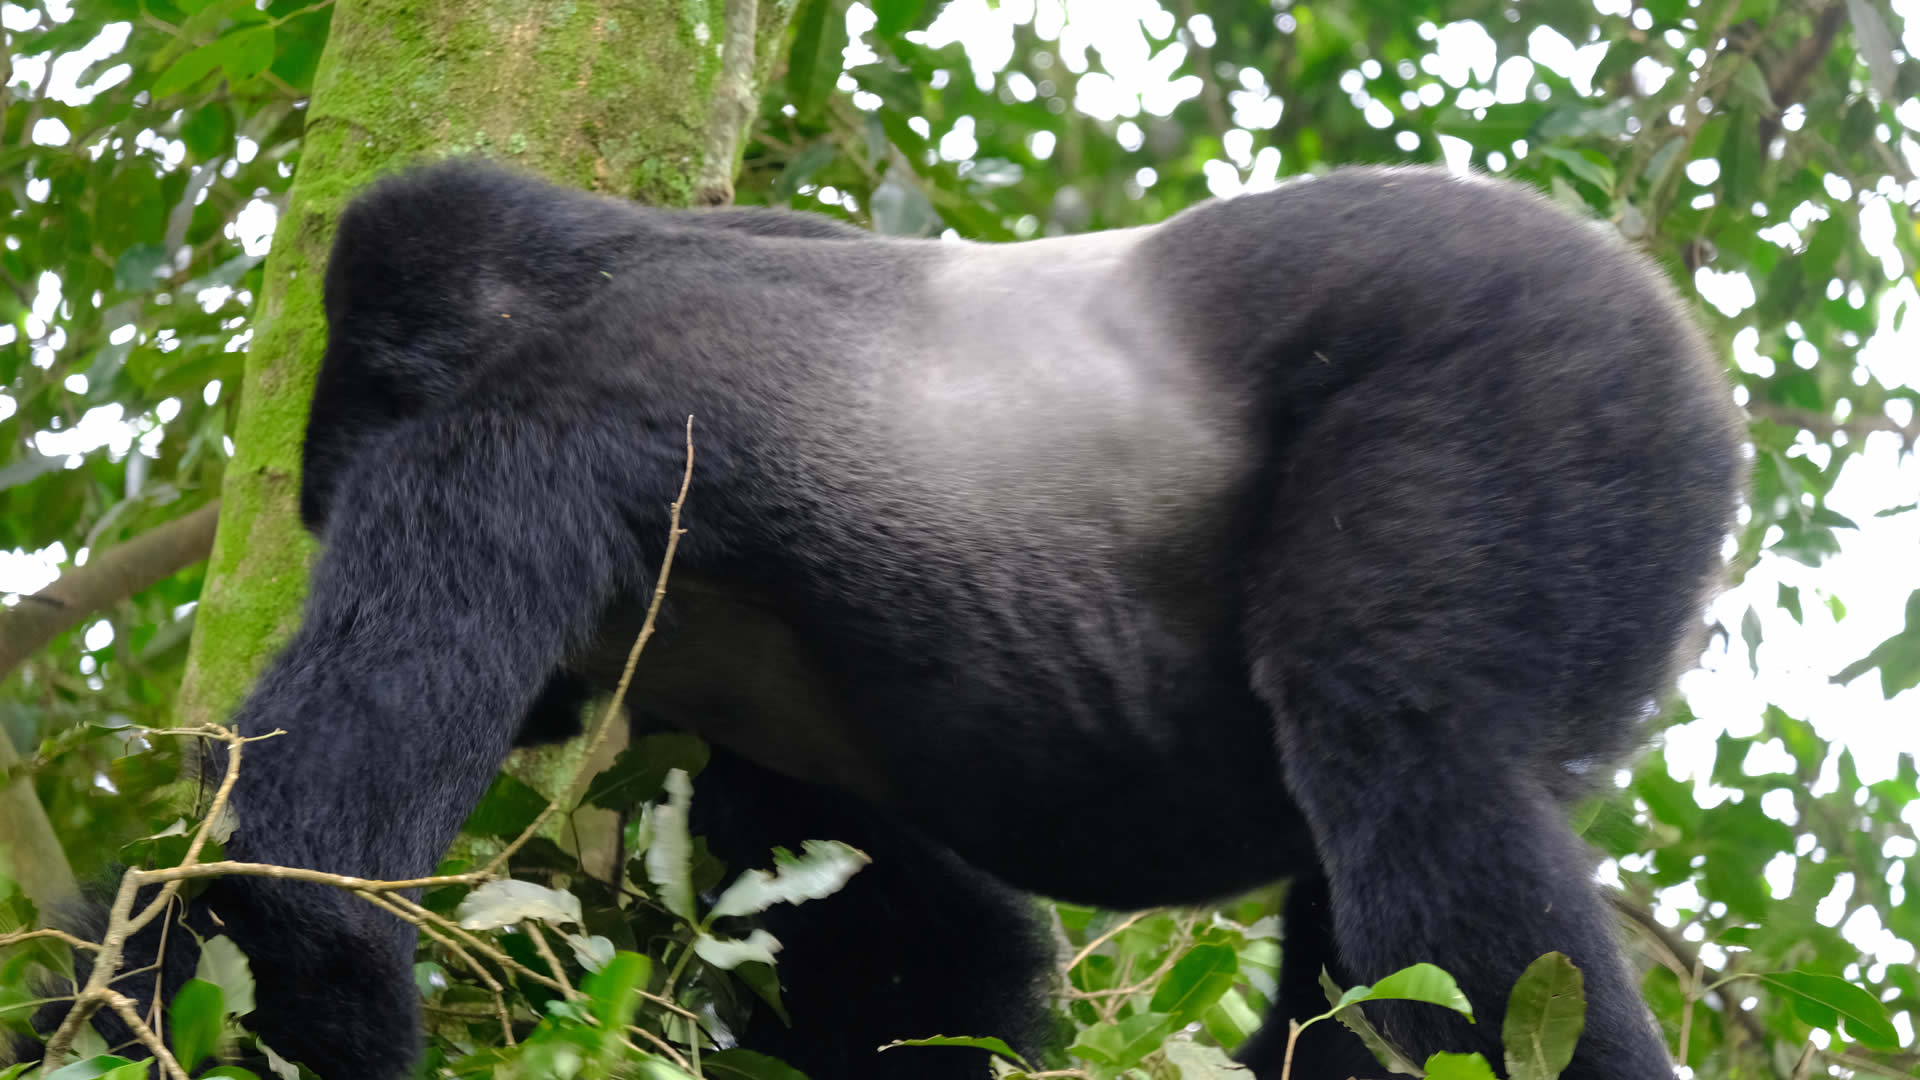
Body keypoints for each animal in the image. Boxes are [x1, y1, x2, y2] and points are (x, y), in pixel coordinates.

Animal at [30, 161, 1751, 1076]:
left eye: (342, 489)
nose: (549, 711)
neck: (595, 260)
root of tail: (1661, 307)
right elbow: (930, 965)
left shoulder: (522, 434)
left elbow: (287, 880)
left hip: (1533, 359)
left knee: (1421, 781)